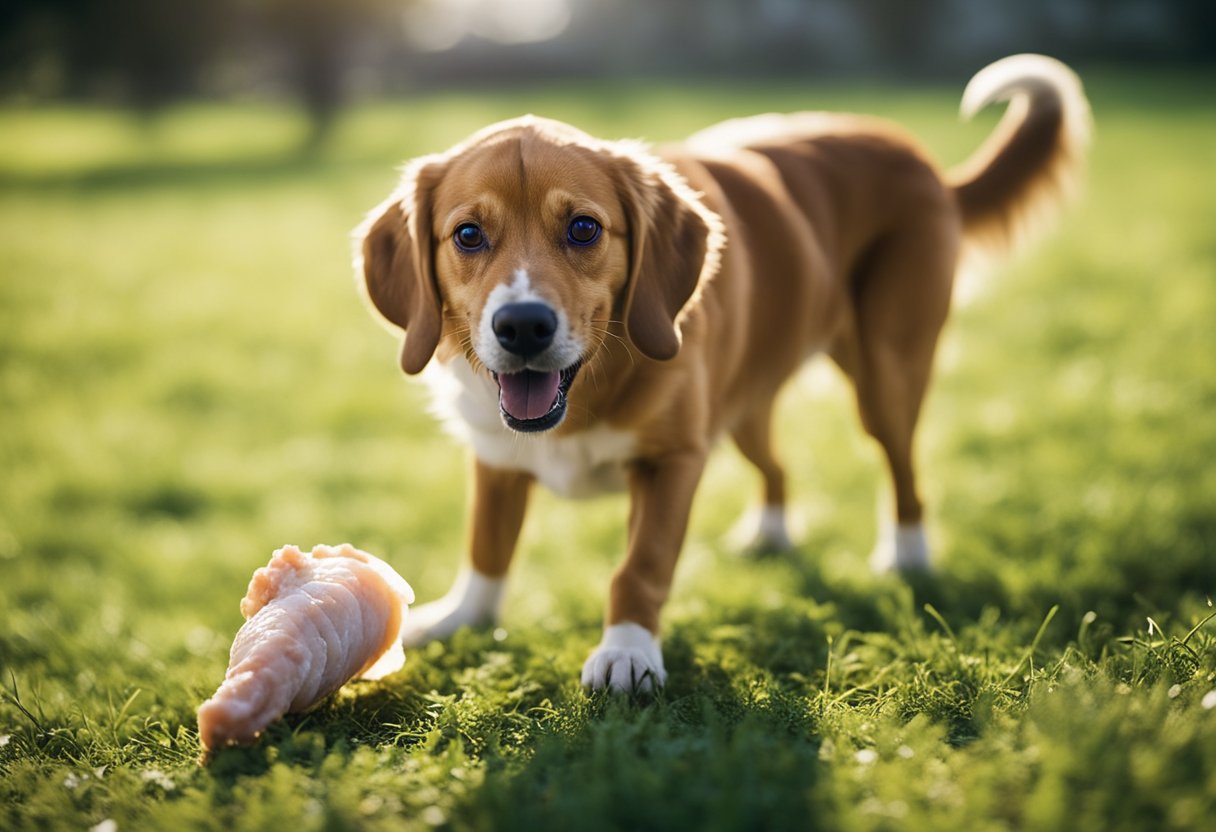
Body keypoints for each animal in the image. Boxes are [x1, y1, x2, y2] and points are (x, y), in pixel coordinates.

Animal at [355, 50, 1089, 690]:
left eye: (584, 229)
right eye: (468, 235)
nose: (523, 326)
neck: (589, 390)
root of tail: (918, 158)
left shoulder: (674, 462)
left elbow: (640, 566)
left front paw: (627, 652)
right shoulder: (497, 459)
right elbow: (486, 547)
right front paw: (462, 618)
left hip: (886, 378)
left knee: (903, 472)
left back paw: (906, 557)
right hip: (744, 411)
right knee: (779, 468)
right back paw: (770, 534)